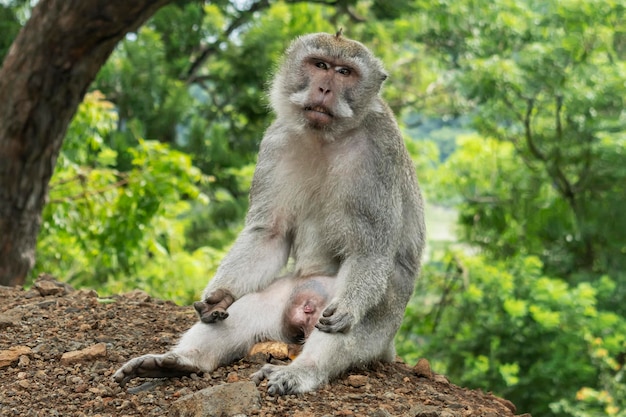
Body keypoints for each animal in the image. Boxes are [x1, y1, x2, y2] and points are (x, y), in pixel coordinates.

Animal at [112, 31, 424, 394]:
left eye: (345, 72)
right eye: (320, 65)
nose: (324, 89)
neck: (326, 137)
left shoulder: (378, 153)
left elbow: (368, 251)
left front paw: (348, 308)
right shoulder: (276, 141)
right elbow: (269, 234)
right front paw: (218, 297)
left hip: (383, 320)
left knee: (345, 323)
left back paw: (301, 371)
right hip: (288, 296)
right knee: (247, 309)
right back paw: (179, 362)